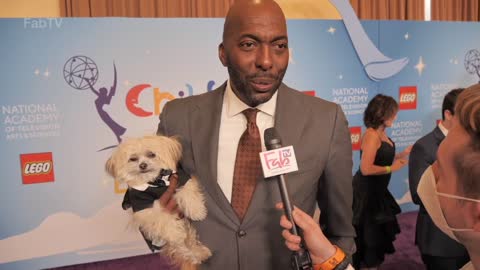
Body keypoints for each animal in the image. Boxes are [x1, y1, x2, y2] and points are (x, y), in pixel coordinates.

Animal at [107, 136, 212, 266]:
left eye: (151, 154)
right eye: (133, 158)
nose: (143, 165)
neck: (156, 182)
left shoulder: (181, 178)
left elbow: (188, 192)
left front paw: (197, 212)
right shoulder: (145, 207)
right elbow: (163, 220)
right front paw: (174, 233)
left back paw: (200, 253)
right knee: (182, 247)